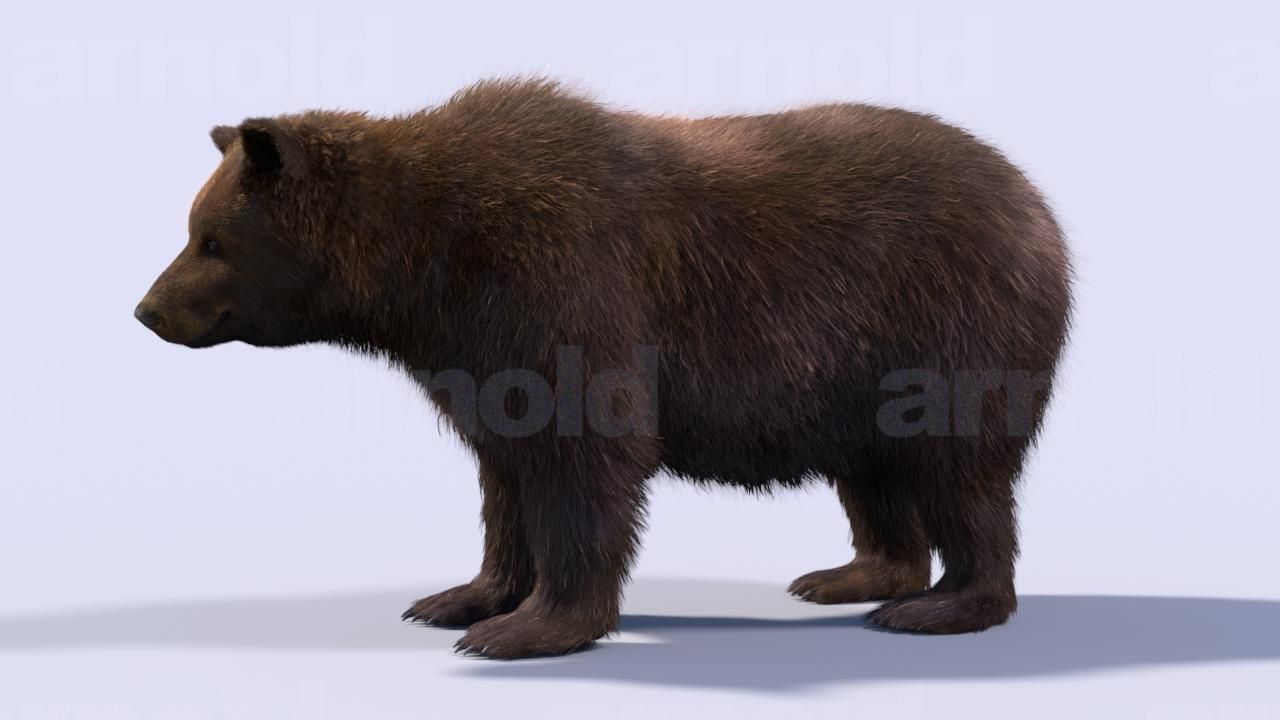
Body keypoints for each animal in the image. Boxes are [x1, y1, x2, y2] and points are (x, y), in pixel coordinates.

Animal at [135, 77, 1073, 659]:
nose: (147, 309)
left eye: (210, 238)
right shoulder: (481, 354)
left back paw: (943, 605)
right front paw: (461, 597)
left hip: (947, 328)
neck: (432, 262)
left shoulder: (563, 280)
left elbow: (585, 457)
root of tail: (1036, 201)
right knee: (875, 473)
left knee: (961, 471)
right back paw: (850, 576)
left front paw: (529, 627)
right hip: (855, 370)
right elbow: (505, 474)